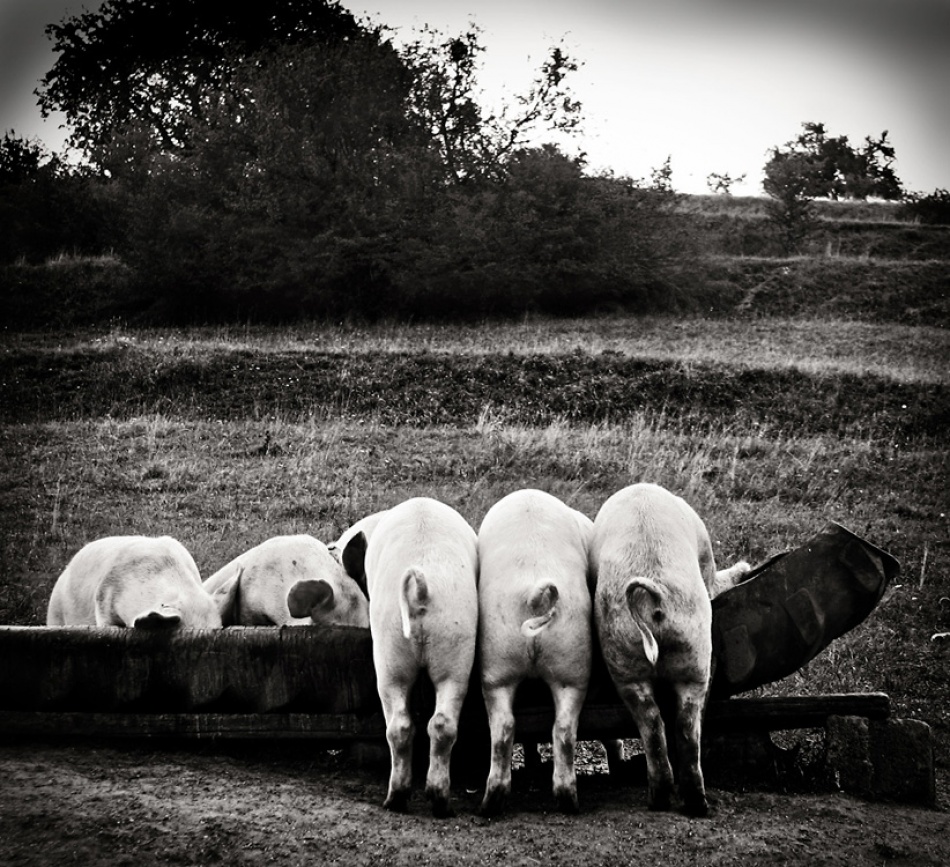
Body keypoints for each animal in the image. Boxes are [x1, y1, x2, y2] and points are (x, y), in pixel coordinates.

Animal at [362, 497, 479, 817]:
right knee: (436, 724)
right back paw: (433, 802)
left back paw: (398, 801)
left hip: (390, 647)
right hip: (453, 641)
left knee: (399, 724)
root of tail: (421, 591)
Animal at [476, 489, 594, 815]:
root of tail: (534, 594)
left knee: (506, 726)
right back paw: (566, 801)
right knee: (560, 729)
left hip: (498, 664)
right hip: (570, 660)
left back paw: (491, 804)